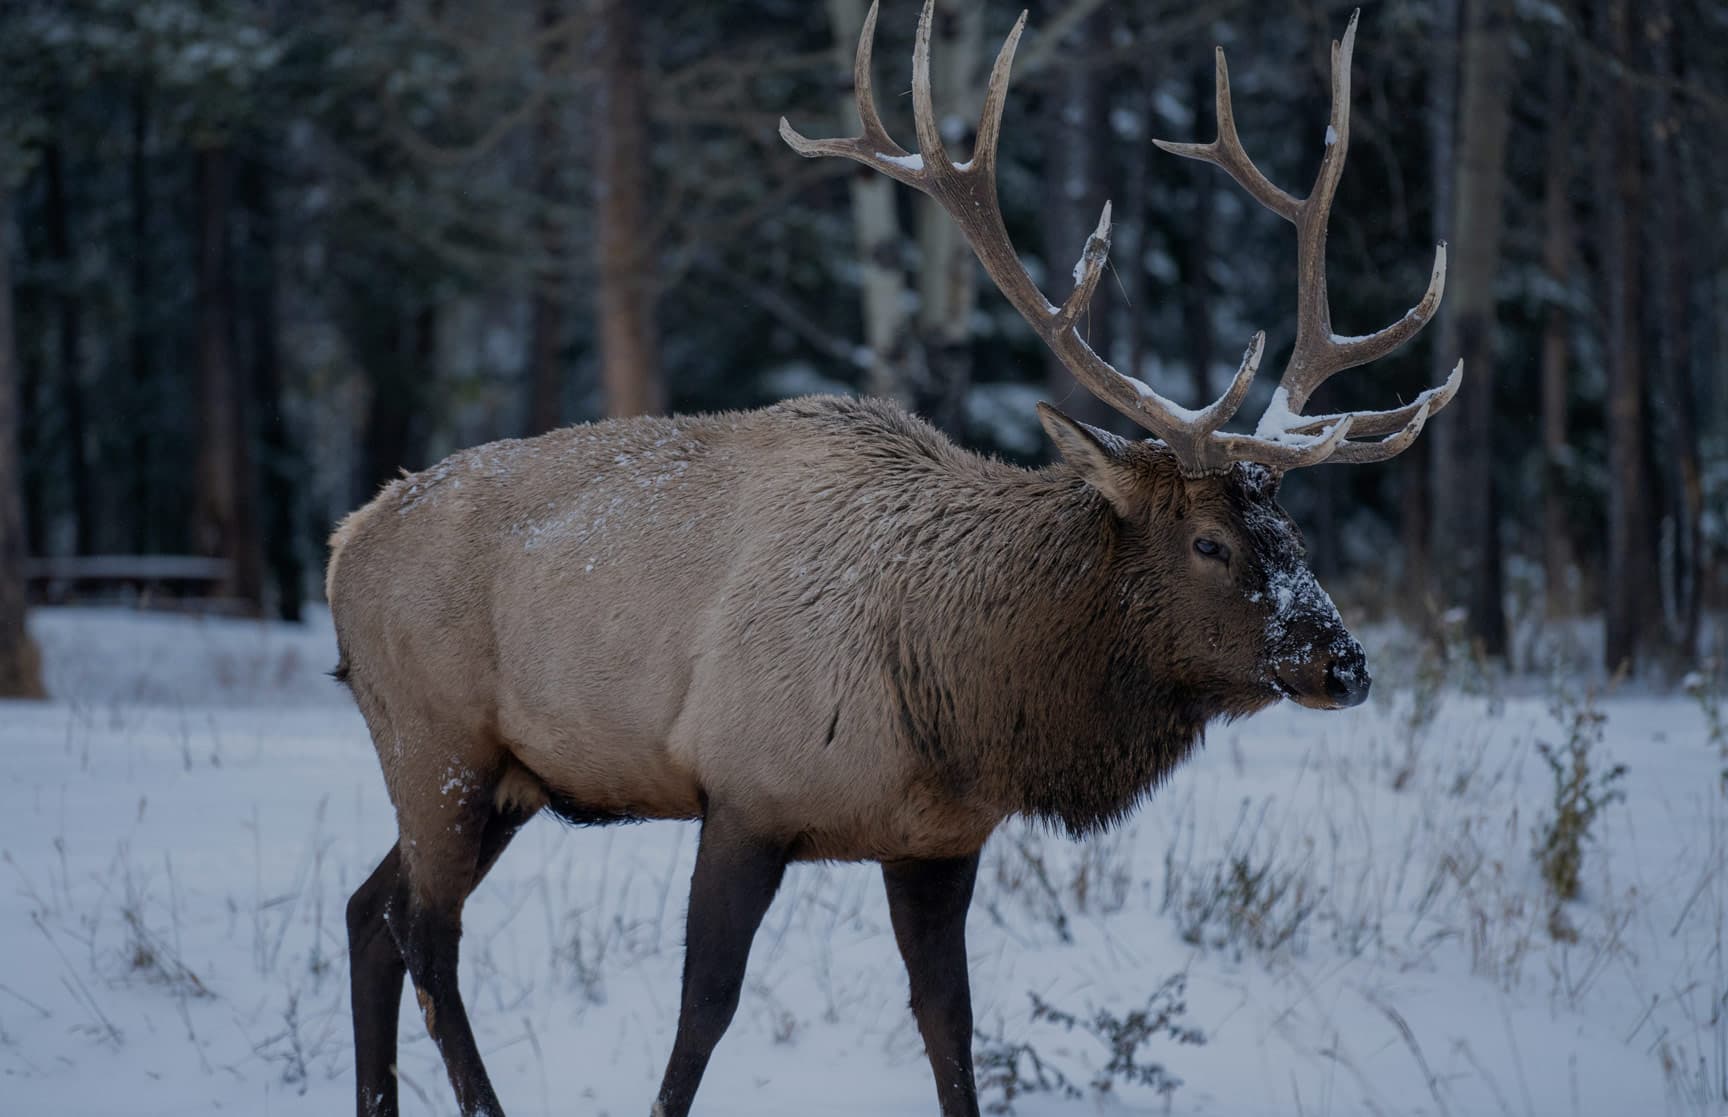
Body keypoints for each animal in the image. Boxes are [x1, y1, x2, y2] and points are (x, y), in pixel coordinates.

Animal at [329, 3, 1459, 1115]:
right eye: (1210, 541)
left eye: (1293, 536)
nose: (1346, 665)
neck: (961, 701)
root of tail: (344, 545)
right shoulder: (745, 791)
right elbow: (702, 1015)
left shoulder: (939, 840)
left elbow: (950, 1026)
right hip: (435, 740)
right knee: (425, 934)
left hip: (505, 776)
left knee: (365, 911)